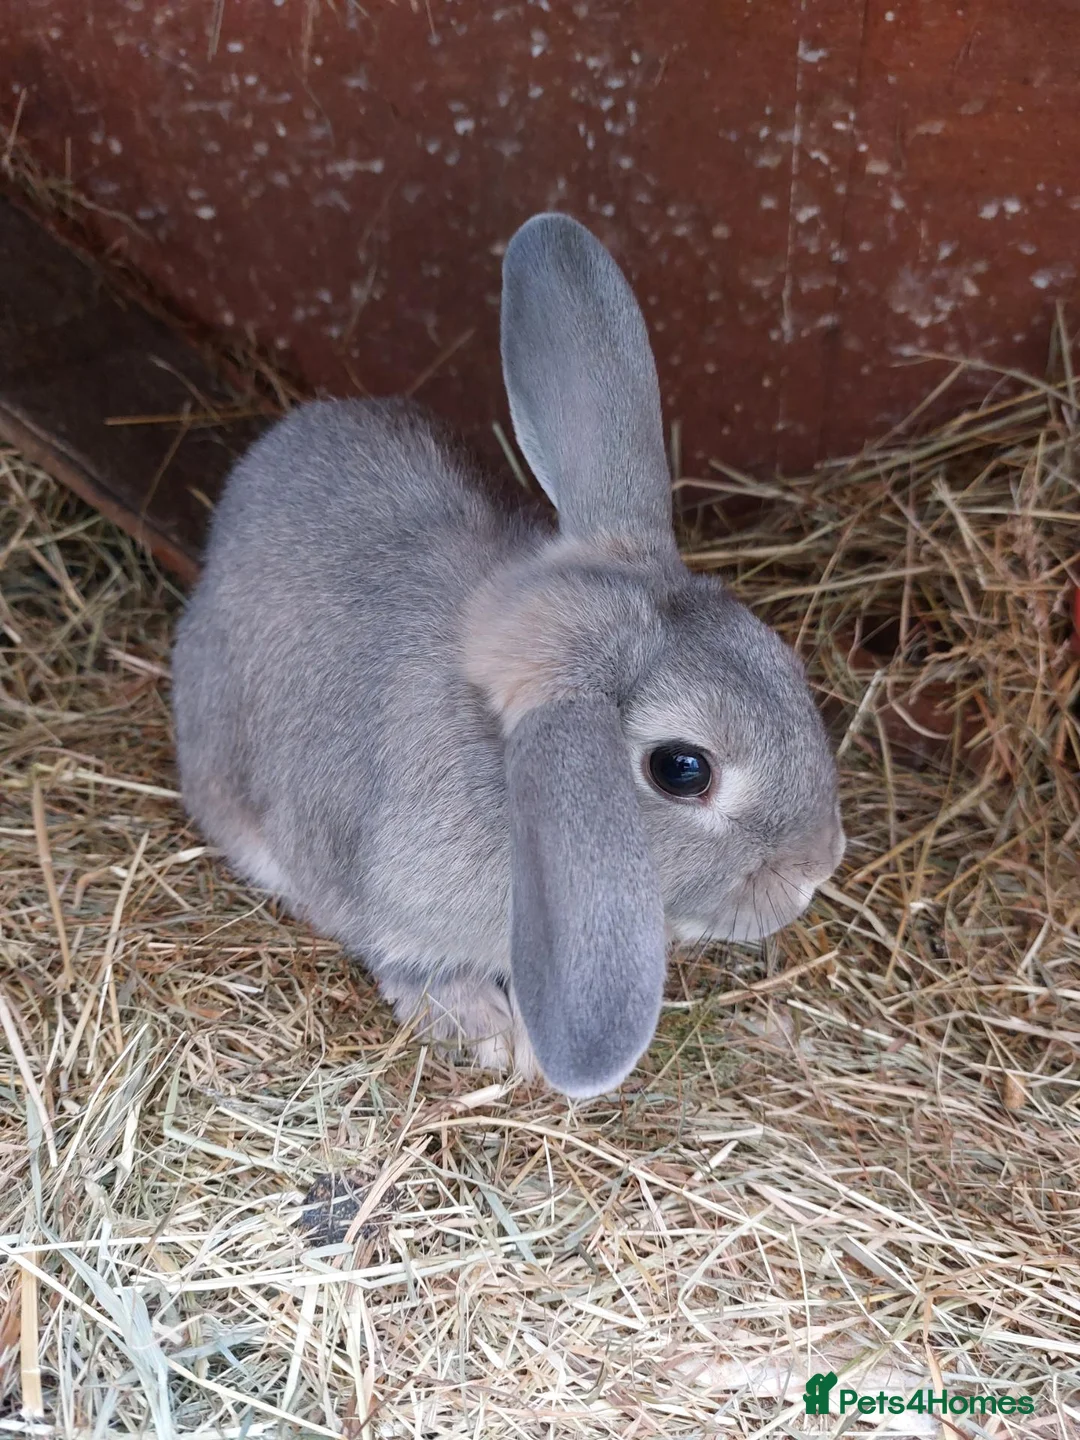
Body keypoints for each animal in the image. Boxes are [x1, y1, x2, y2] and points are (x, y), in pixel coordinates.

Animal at [171, 212, 845, 1099]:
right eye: (682, 770)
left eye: (780, 658)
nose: (814, 871)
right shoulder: (391, 901)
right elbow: (412, 962)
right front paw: (491, 1033)